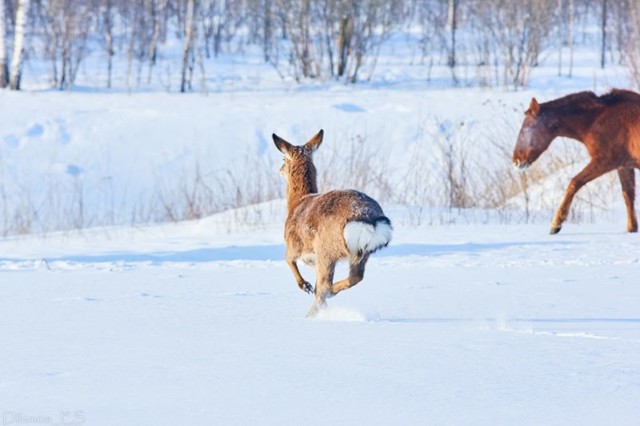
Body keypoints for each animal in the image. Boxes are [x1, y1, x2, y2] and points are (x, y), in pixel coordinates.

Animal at [272, 130, 392, 316]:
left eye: (283, 159)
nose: (278, 170)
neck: (296, 202)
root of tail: (366, 219)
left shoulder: (294, 243)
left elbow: (288, 260)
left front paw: (304, 285)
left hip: (326, 249)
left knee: (324, 287)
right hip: (361, 252)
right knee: (355, 277)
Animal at [512, 89, 640, 235]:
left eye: (526, 128)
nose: (516, 161)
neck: (596, 119)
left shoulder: (605, 160)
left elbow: (574, 182)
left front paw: (556, 223)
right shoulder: (624, 166)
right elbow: (628, 194)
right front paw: (632, 228)